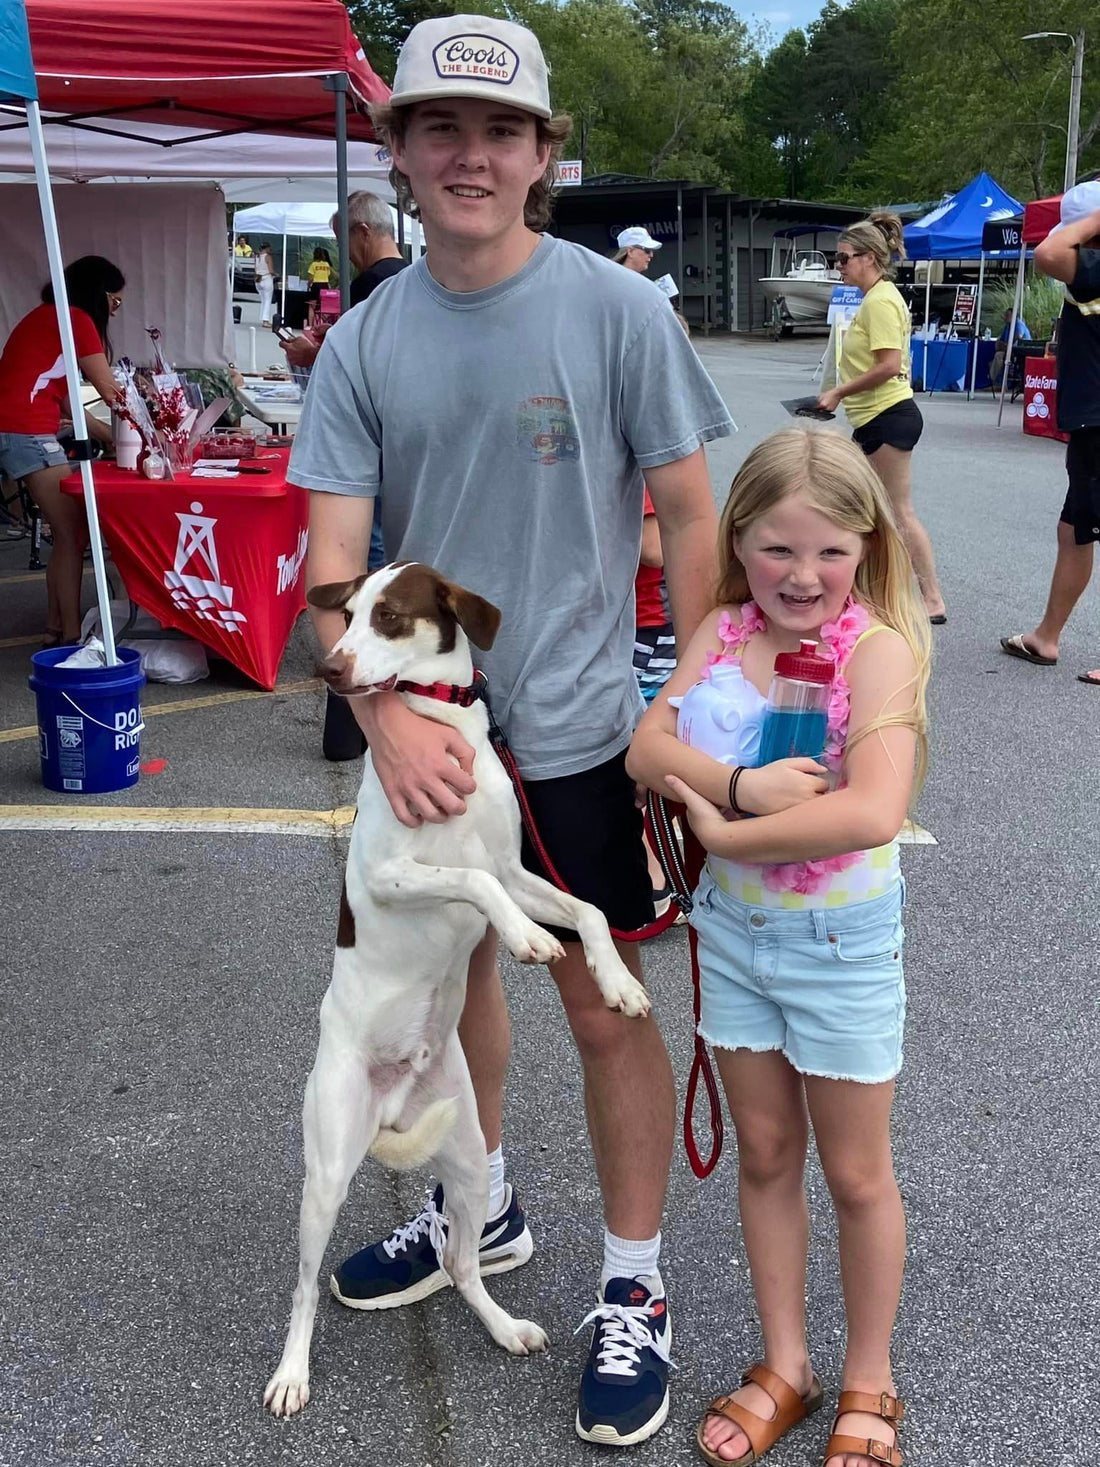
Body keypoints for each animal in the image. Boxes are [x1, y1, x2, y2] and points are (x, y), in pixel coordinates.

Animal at [262, 563, 651, 1420]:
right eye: (345, 614)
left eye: (388, 616)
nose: (329, 668)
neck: (442, 719)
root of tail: (393, 1103)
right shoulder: (396, 872)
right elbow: (473, 883)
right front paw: (526, 939)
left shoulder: (518, 867)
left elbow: (588, 907)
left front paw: (614, 979)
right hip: (326, 1171)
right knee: (303, 1289)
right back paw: (292, 1373)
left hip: (471, 1162)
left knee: (465, 1263)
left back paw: (503, 1327)